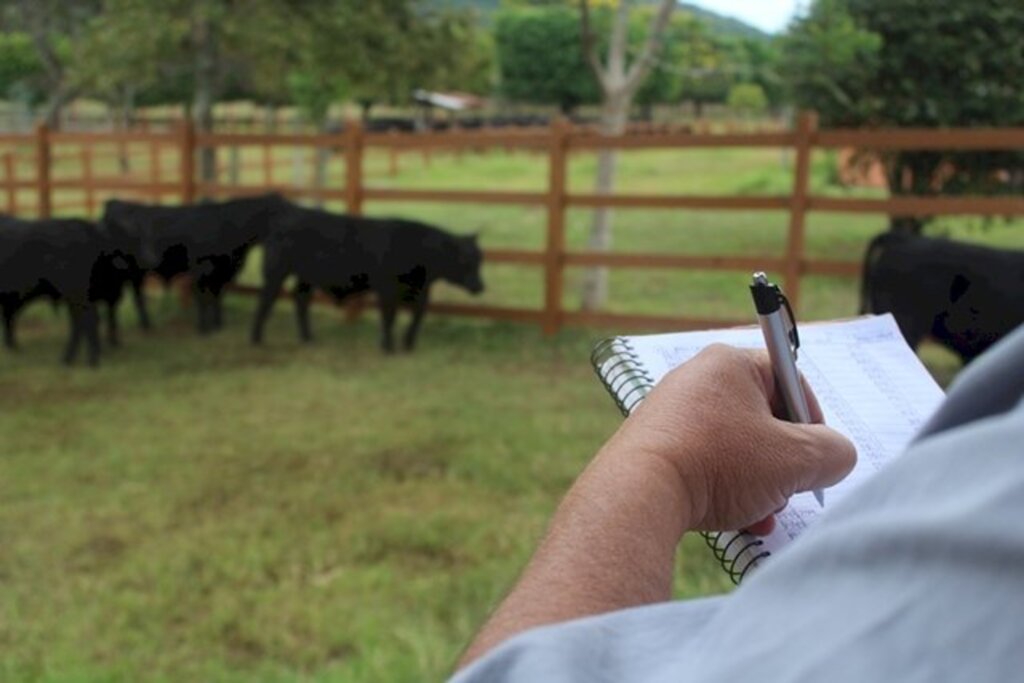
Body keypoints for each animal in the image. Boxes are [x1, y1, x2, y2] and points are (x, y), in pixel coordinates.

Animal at [103, 193, 286, 335]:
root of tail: (114, 202)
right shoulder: (202, 269)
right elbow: (202, 297)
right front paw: (203, 328)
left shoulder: (222, 271)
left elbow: (217, 297)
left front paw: (217, 325)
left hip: (135, 271)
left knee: (137, 295)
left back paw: (147, 326)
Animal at [250, 210, 483, 352]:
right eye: (465, 260)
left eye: (480, 258)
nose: (480, 286)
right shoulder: (386, 288)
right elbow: (389, 316)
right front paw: (388, 348)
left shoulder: (421, 292)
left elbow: (416, 317)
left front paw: (407, 345)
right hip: (276, 272)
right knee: (266, 300)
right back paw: (256, 339)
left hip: (305, 278)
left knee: (300, 303)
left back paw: (308, 339)